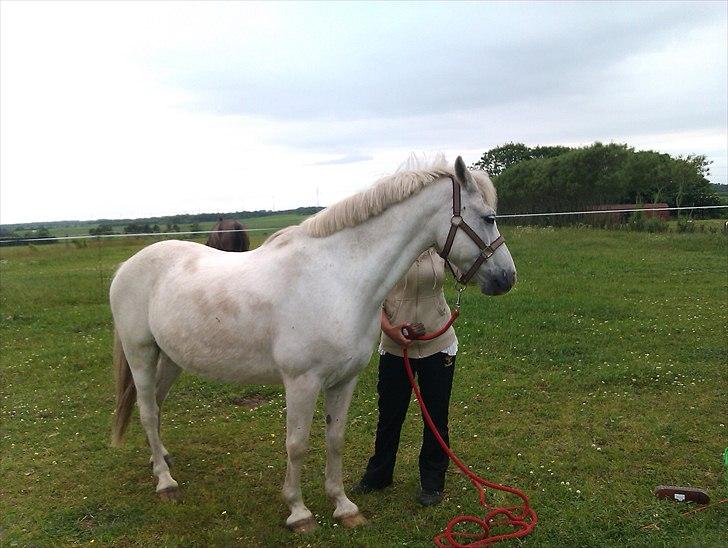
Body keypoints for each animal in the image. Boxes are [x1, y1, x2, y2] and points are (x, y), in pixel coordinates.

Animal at [109, 156, 516, 532]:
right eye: (489, 217)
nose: (506, 278)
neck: (338, 279)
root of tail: (127, 266)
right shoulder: (302, 381)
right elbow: (297, 444)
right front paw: (298, 512)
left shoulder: (344, 380)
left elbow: (334, 438)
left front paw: (344, 506)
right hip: (141, 353)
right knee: (147, 411)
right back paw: (165, 482)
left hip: (171, 357)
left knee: (156, 404)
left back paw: (160, 459)